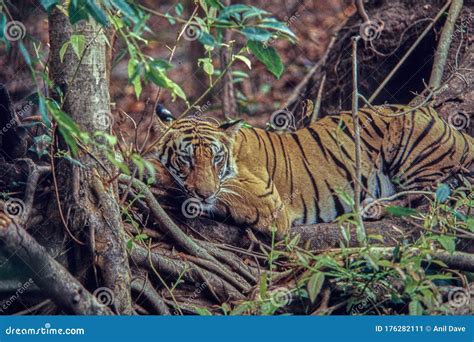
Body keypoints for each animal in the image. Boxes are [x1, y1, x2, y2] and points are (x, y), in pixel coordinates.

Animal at [146, 105, 472, 238]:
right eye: (186, 159)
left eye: (215, 159)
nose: (204, 193)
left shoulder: (267, 201)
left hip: (410, 140)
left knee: (428, 193)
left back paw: (374, 207)